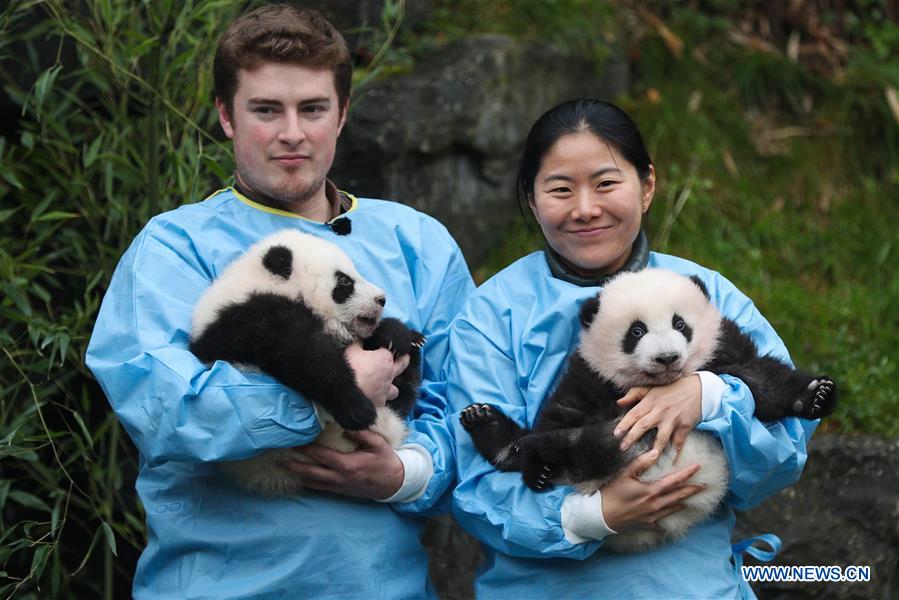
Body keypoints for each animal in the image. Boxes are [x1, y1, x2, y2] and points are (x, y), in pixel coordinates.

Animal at [190, 229, 424, 496]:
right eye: (345, 282)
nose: (381, 299)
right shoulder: (247, 320)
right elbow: (305, 356)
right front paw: (356, 407)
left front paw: (395, 335)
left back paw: (413, 343)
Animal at [461, 268, 836, 551]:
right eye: (636, 331)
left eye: (680, 324)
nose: (666, 358)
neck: (660, 385)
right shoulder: (591, 376)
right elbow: (563, 411)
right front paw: (531, 455)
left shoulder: (722, 346)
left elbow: (758, 377)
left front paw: (816, 396)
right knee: (577, 444)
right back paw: (505, 437)